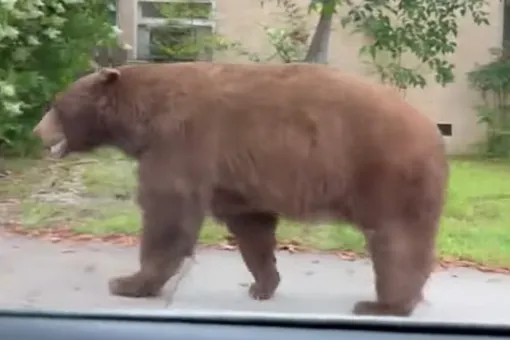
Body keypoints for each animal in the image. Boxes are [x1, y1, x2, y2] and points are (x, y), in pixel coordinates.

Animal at [31, 61, 448, 316]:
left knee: (397, 240)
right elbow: (251, 225)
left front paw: (128, 282)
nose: (36, 131)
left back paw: (384, 304)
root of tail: (433, 130)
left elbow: (168, 212)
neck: (142, 116)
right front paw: (263, 284)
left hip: (387, 174)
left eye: (56, 104)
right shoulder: (232, 177)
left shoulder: (180, 141)